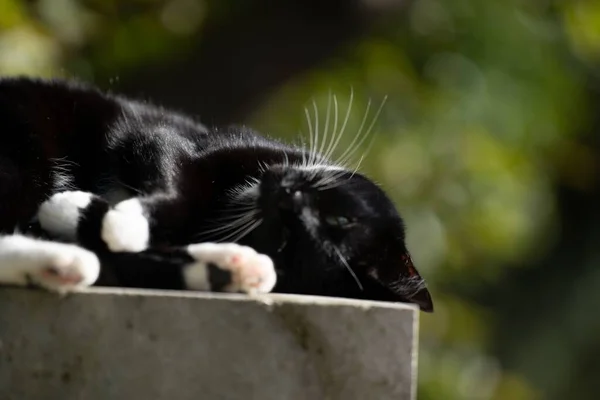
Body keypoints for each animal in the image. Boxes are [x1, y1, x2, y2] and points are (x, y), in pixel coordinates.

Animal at [0, 76, 434, 310]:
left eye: (285, 238)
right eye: (339, 215)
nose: (283, 194)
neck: (230, 200)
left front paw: (97, 218)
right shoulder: (170, 138)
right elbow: (173, 177)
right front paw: (122, 222)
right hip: (29, 148)